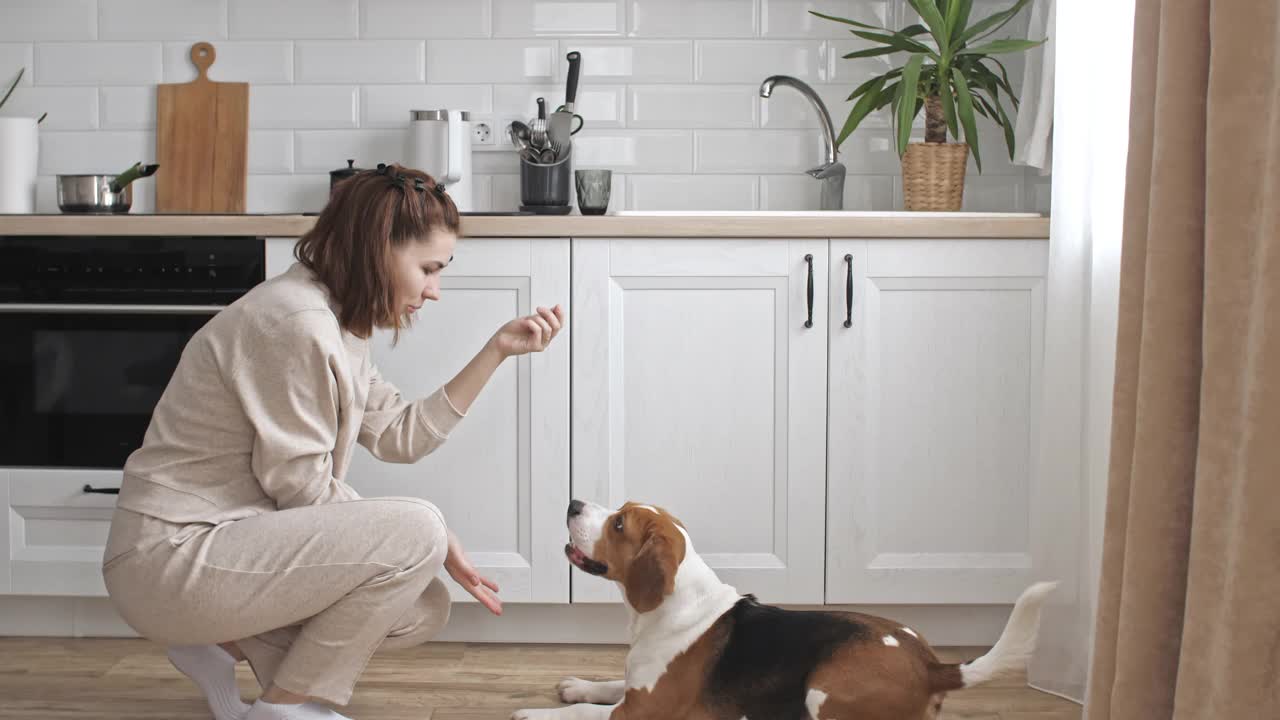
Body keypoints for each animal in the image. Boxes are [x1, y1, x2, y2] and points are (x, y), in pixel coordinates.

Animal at [509, 497, 1059, 717]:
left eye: (619, 524)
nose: (573, 503)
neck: (671, 608)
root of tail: (932, 665)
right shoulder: (639, 685)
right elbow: (606, 685)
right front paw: (577, 684)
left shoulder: (644, 712)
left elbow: (584, 714)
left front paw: (535, 714)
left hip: (823, 690)